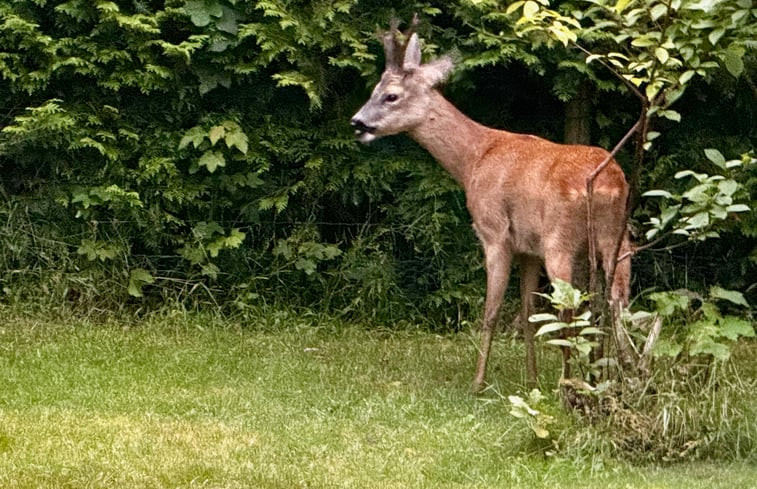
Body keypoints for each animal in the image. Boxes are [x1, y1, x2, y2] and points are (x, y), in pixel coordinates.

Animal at [352, 22, 628, 390]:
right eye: (374, 90)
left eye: (391, 95)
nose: (357, 122)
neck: (473, 160)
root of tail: (605, 183)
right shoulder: (528, 248)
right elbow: (527, 312)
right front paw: (532, 379)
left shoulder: (494, 232)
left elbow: (491, 311)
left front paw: (478, 382)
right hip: (616, 239)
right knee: (618, 304)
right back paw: (623, 377)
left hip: (560, 239)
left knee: (570, 310)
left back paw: (570, 385)